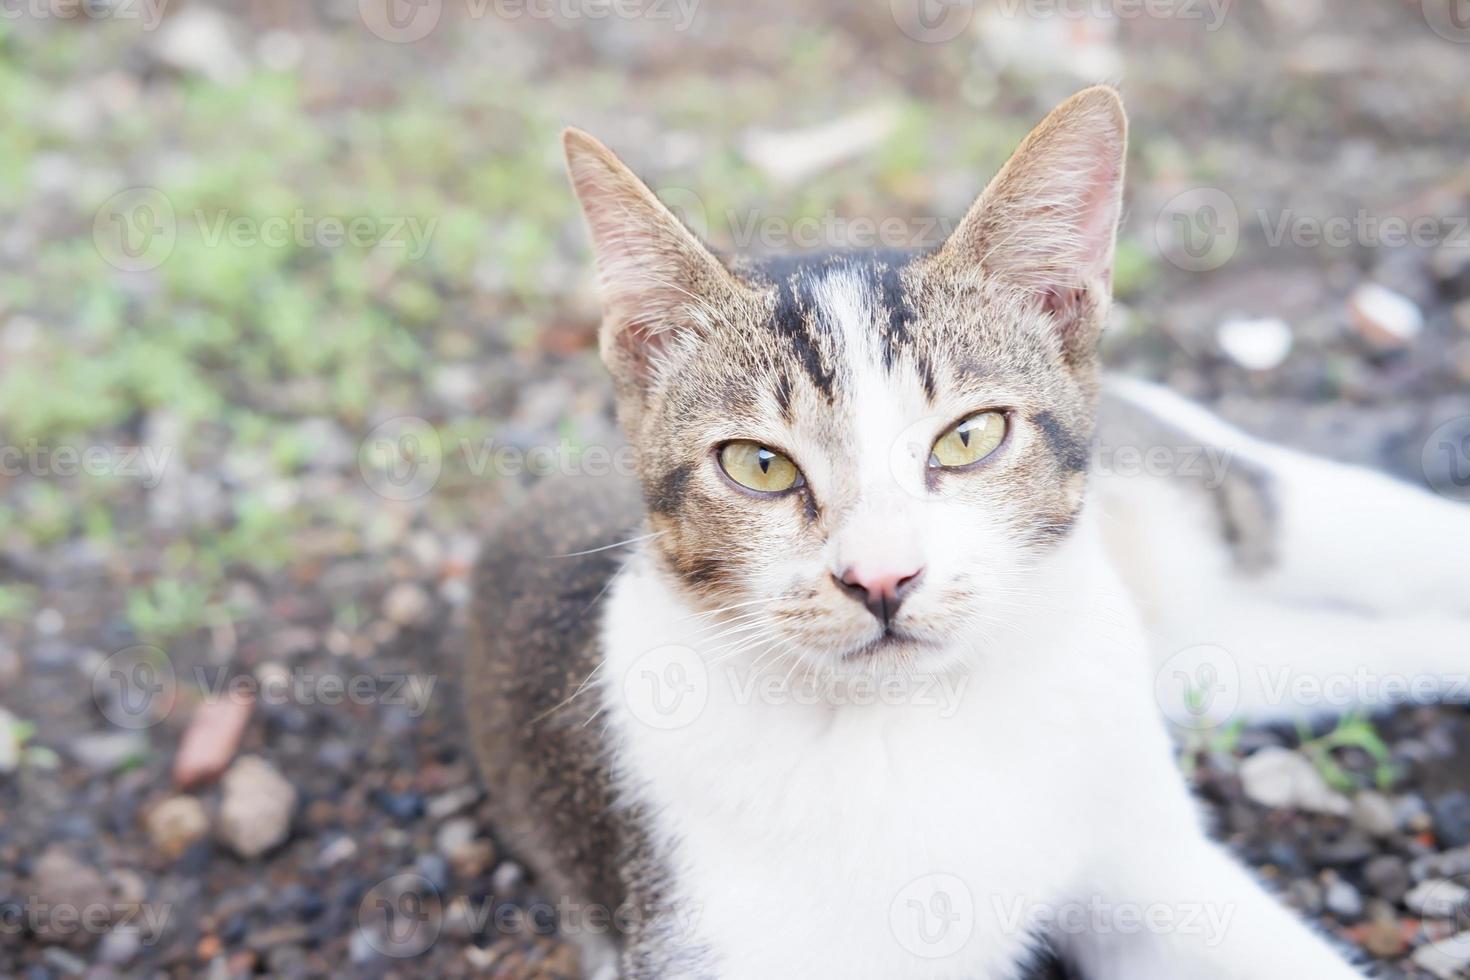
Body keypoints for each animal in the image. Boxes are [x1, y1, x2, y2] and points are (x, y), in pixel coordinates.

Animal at [461, 88, 1470, 975]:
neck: (924, 723)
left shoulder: (1154, 866)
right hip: (1207, 660)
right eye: (759, 465)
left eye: (970, 436)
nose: (882, 578)